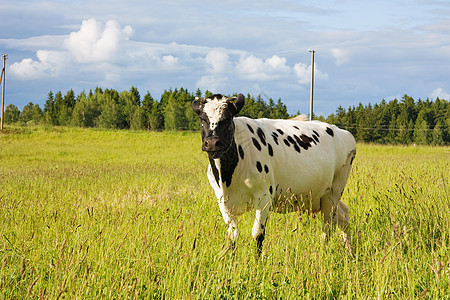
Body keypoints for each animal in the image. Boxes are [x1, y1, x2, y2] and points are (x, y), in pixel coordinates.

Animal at [192, 92, 356, 254]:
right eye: (202, 119)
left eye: (227, 119)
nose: (212, 143)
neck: (227, 177)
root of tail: (343, 132)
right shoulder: (223, 201)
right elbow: (233, 236)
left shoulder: (264, 196)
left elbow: (258, 234)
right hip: (321, 195)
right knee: (343, 214)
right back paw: (350, 251)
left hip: (334, 191)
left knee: (328, 226)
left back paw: (324, 252)